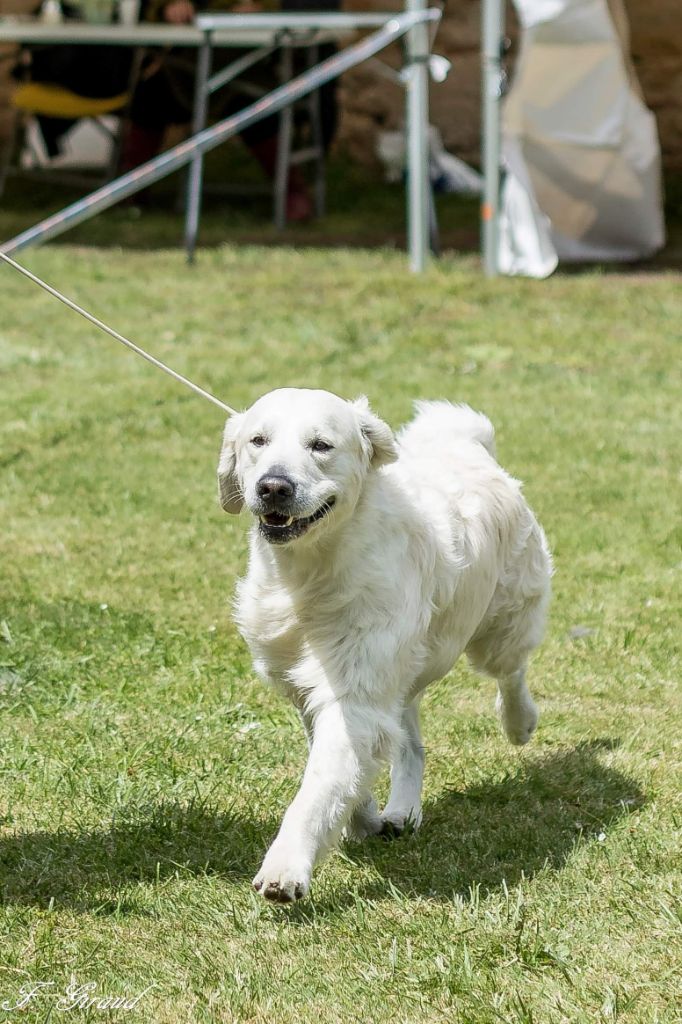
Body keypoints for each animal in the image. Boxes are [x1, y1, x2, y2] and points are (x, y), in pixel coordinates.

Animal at [218, 387, 552, 901]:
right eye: (258, 440)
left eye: (321, 445)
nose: (274, 486)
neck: (311, 572)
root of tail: (468, 443)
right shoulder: (315, 688)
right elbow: (347, 769)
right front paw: (362, 818)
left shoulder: (355, 690)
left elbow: (317, 787)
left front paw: (287, 867)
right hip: (404, 672)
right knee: (411, 743)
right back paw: (401, 812)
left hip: (500, 626)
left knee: (510, 672)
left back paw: (519, 723)